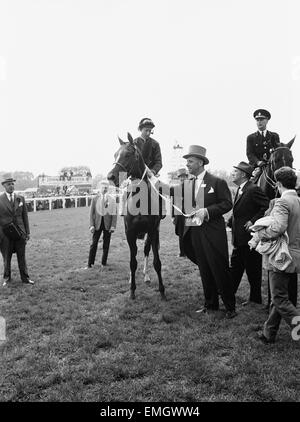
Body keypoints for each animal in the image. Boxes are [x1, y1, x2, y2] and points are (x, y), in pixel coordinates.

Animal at [106, 132, 166, 300]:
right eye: (115, 154)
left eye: (127, 154)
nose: (111, 176)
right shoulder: (130, 232)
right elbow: (132, 262)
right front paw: (132, 289)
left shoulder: (153, 231)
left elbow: (156, 262)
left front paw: (162, 290)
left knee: (146, 250)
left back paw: (146, 276)